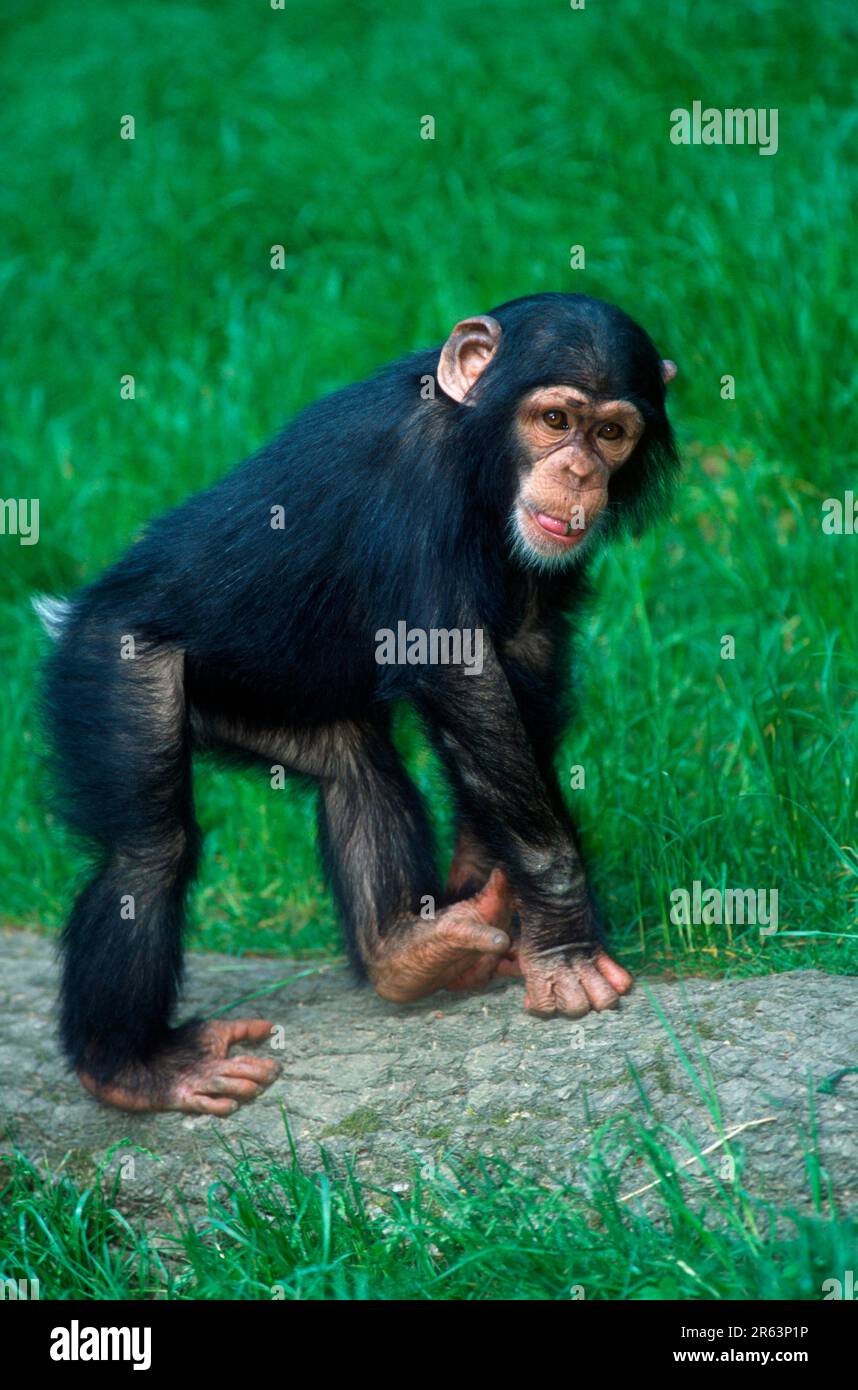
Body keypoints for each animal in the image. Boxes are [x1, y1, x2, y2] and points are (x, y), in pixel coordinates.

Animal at [36, 296, 678, 1117]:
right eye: (557, 419)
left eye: (611, 434)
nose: (577, 470)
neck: (476, 452)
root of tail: (73, 609)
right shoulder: (414, 481)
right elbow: (457, 671)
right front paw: (565, 933)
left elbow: (523, 668)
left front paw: (487, 876)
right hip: (111, 661)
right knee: (146, 854)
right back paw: (133, 1066)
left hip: (265, 700)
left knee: (354, 768)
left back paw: (404, 951)